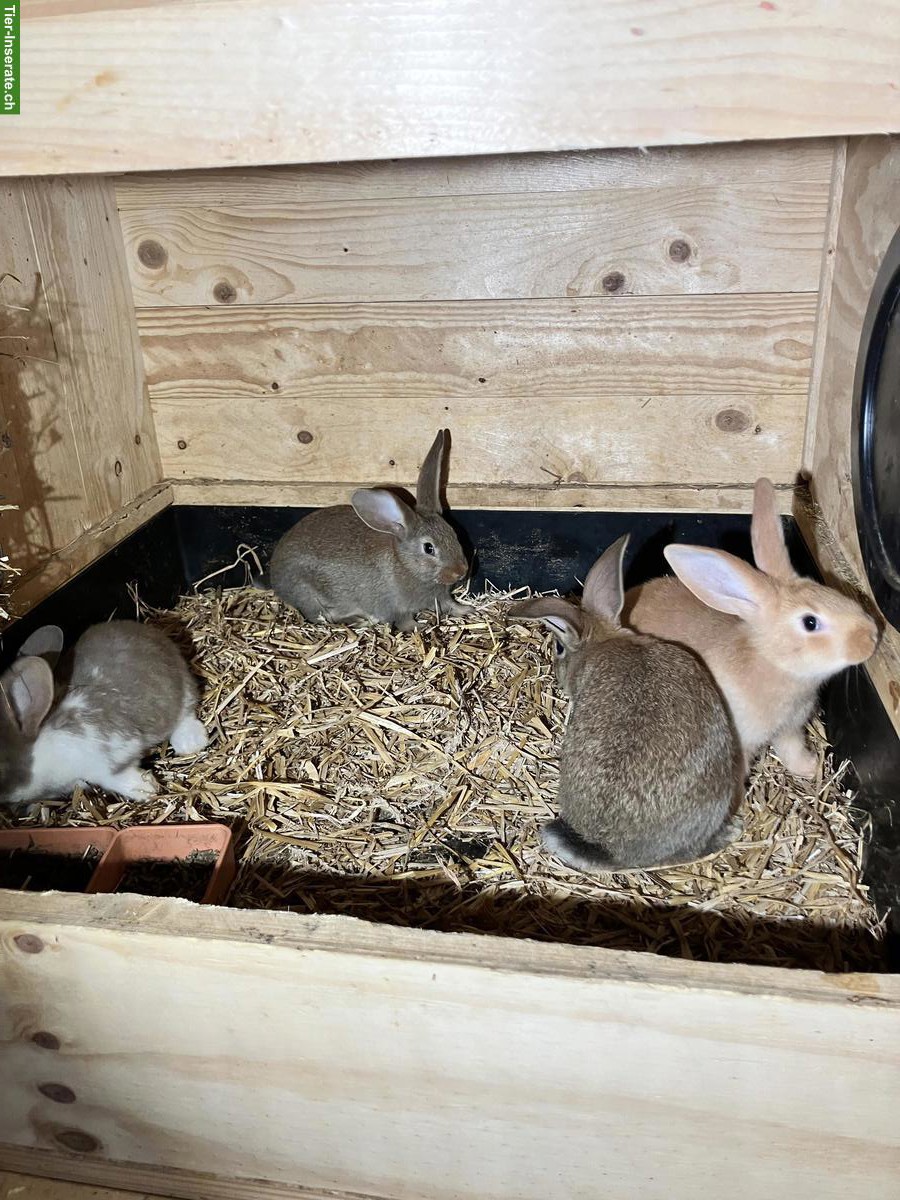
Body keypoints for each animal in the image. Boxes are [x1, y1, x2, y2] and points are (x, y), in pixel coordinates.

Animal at [0, 620, 208, 806]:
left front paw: (146, 789)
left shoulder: (108, 755)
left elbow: (116, 777)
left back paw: (190, 743)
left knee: (186, 713)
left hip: (181, 689)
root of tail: (155, 634)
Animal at [269, 429, 469, 631]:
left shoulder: (440, 598)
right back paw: (358, 620)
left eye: (453, 533)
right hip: (310, 596)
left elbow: (449, 604)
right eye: (429, 548)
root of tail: (274, 576)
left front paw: (467, 610)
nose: (461, 571)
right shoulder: (395, 608)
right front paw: (419, 628)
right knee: (322, 617)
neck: (406, 565)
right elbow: (404, 621)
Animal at [622, 478, 880, 778]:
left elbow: (792, 750)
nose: (872, 636)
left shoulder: (789, 729)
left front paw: (809, 768)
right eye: (810, 622)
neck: (774, 663)